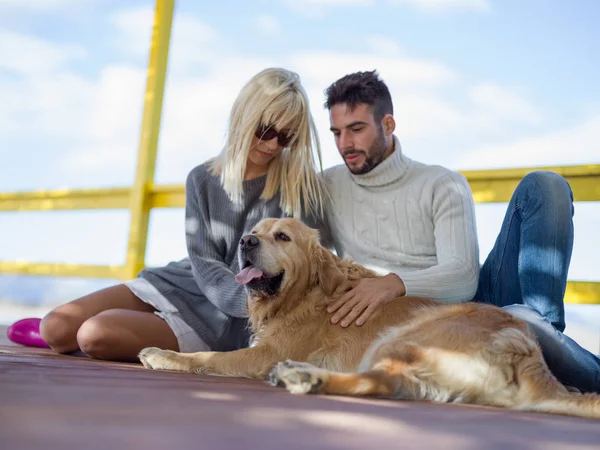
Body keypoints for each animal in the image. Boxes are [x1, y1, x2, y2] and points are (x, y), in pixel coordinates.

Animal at [138, 218, 600, 418]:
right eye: (255, 229)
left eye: (282, 236)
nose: (246, 242)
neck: (306, 292)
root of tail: (523, 344)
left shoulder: (261, 353)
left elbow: (208, 357)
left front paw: (163, 355)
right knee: (392, 385)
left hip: (404, 336)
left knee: (380, 380)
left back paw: (305, 376)